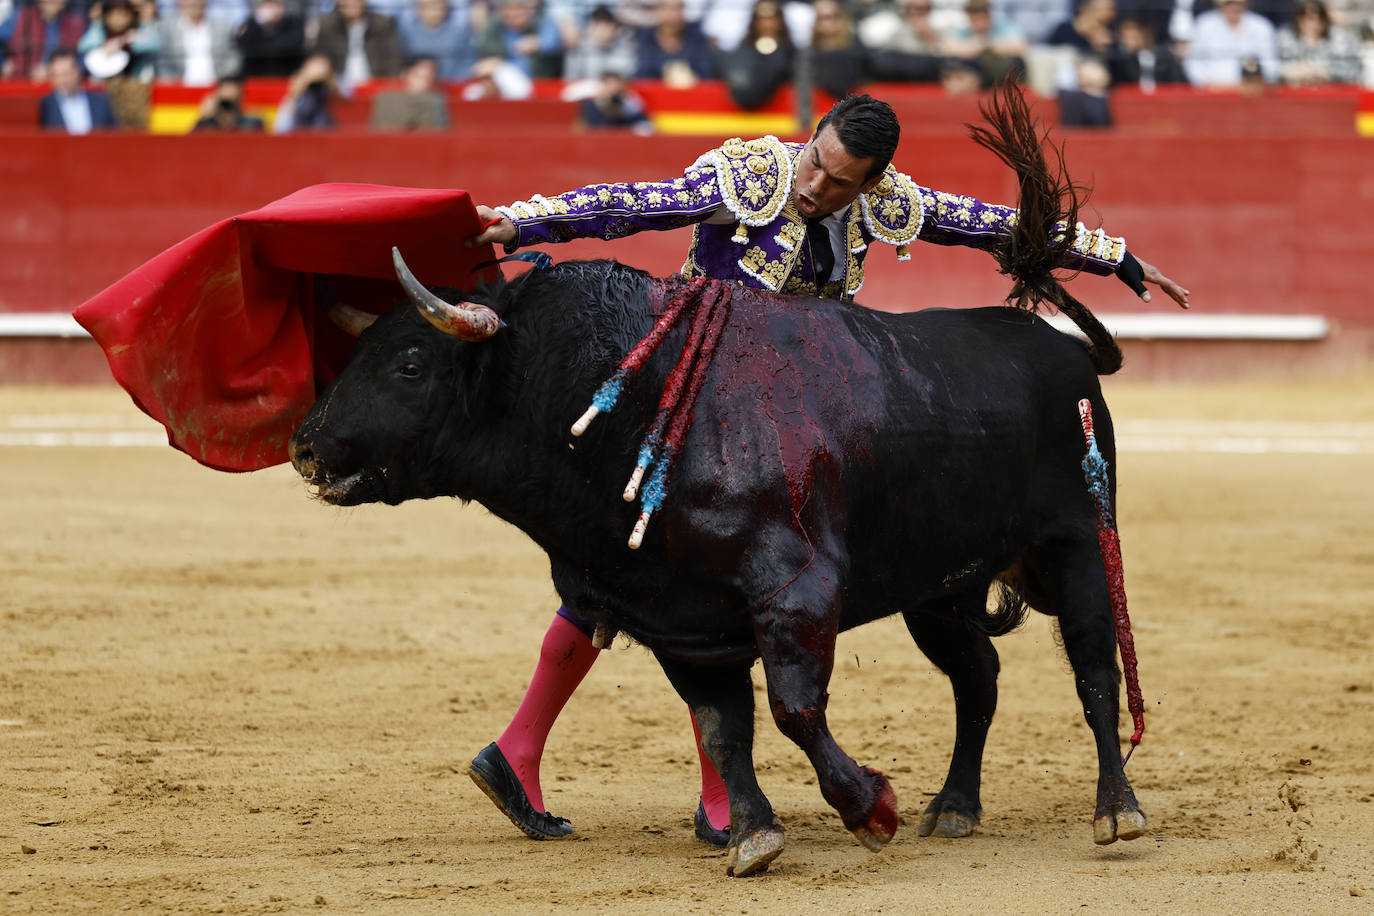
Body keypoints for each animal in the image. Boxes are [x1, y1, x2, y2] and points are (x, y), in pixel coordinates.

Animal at [287, 96, 1148, 878]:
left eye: (409, 364)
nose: (305, 446)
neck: (616, 390)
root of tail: (1066, 352)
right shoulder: (676, 612)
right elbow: (722, 726)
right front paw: (753, 834)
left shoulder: (796, 591)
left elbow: (792, 707)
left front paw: (870, 809)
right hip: (940, 583)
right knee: (979, 677)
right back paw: (956, 807)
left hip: (1077, 543)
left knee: (1095, 667)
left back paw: (1116, 811)